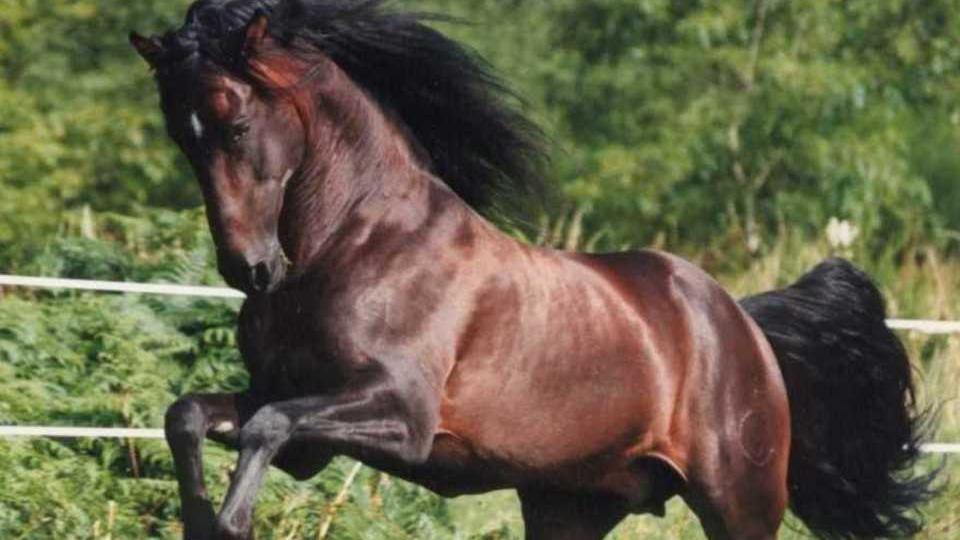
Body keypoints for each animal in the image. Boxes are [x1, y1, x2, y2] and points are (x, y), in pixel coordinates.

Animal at [130, 1, 938, 538]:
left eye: (236, 124)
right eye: (180, 134)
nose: (251, 269)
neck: (355, 243)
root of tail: (744, 323)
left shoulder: (400, 412)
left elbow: (265, 425)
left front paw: (230, 521)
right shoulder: (307, 433)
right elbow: (190, 414)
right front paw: (201, 517)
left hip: (739, 503)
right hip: (571, 507)